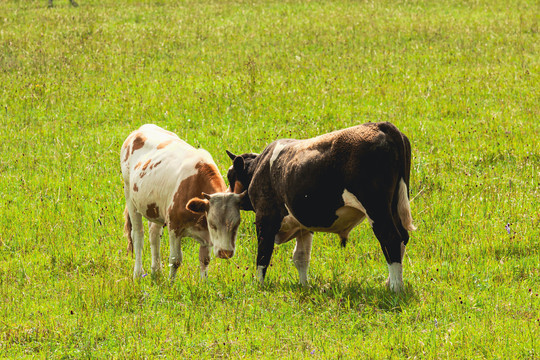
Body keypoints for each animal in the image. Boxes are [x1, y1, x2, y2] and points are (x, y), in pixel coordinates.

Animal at [121, 124, 246, 282]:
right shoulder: (174, 226)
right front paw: (171, 283)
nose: (225, 252)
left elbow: (204, 260)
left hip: (154, 207)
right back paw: (138, 273)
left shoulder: (206, 236)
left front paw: (204, 283)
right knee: (138, 235)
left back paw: (156, 270)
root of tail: (141, 129)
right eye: (213, 224)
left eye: (236, 224)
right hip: (130, 197)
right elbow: (175, 260)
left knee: (154, 234)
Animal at [226, 122, 416, 292]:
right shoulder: (303, 226)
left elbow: (263, 254)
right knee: (402, 238)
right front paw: (305, 286)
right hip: (394, 206)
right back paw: (388, 282)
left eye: (230, 176)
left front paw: (258, 286)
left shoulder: (265, 217)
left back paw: (395, 287)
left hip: (376, 209)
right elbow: (300, 257)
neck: (260, 166)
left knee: (390, 239)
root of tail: (381, 125)